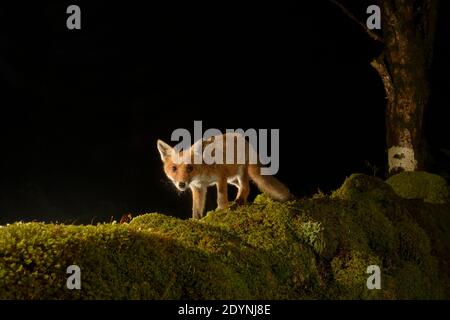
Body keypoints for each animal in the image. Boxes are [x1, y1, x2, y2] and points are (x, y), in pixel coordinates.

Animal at [156, 133, 294, 220]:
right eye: (174, 169)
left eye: (190, 168)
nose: (181, 184)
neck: (201, 175)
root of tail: (244, 140)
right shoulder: (198, 187)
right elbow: (196, 207)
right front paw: (196, 220)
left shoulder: (220, 177)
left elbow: (221, 197)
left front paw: (221, 210)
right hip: (232, 179)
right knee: (244, 186)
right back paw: (241, 201)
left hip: (240, 172)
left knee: (246, 187)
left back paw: (239, 201)